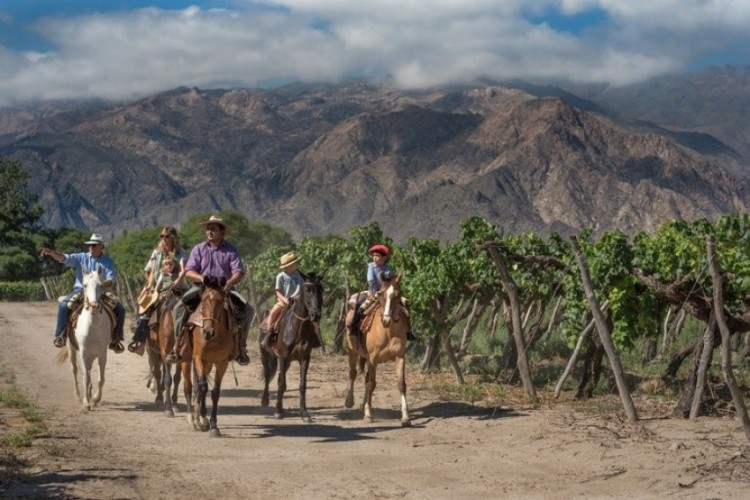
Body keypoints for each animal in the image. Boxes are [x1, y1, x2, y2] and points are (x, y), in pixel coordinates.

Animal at [61, 266, 113, 410]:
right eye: (84, 285)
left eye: (101, 285)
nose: (94, 306)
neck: (93, 325)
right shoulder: (83, 352)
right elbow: (85, 377)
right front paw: (86, 403)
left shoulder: (102, 353)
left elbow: (101, 379)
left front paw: (95, 399)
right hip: (72, 349)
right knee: (75, 370)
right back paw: (78, 397)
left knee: (88, 371)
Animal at [262, 274, 324, 422]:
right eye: (307, 289)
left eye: (321, 290)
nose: (316, 315)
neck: (297, 329)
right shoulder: (283, 357)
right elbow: (281, 383)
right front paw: (278, 411)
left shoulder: (304, 358)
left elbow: (302, 385)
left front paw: (304, 413)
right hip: (265, 354)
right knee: (267, 374)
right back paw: (265, 400)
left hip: (287, 362)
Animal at [346, 272, 412, 428]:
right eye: (381, 293)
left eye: (398, 294)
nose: (386, 320)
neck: (388, 331)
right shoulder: (373, 358)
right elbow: (371, 384)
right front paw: (368, 415)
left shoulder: (400, 357)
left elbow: (401, 384)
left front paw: (406, 417)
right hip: (352, 351)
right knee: (353, 373)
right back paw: (350, 401)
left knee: (365, 378)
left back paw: (364, 405)